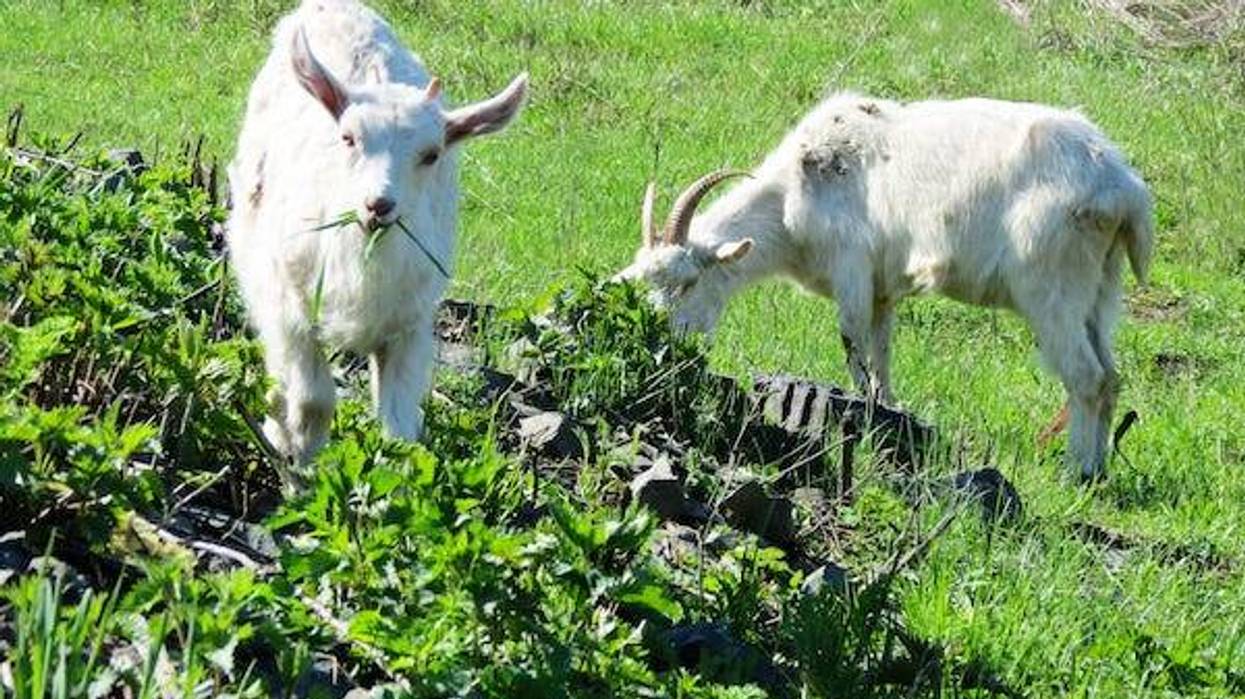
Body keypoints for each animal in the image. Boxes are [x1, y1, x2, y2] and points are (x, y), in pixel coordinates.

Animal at [226, 0, 526, 483]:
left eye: (431, 154)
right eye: (348, 138)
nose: (378, 204)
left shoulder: (410, 325)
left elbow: (400, 430)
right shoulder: (293, 311)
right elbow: (312, 403)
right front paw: (301, 474)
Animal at [617, 92, 1153, 480]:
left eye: (688, 283)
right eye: (641, 279)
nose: (657, 342)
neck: (796, 190)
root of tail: (1124, 188)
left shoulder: (852, 272)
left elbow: (854, 348)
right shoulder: (883, 292)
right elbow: (881, 356)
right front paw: (892, 413)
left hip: (1053, 290)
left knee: (1086, 377)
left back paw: (1077, 472)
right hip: (1100, 290)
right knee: (1110, 375)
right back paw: (1099, 471)